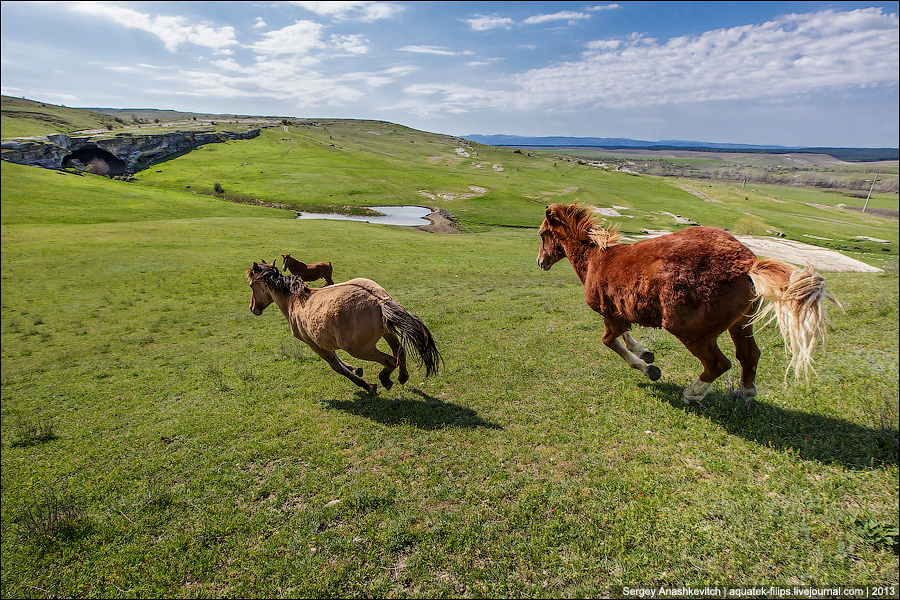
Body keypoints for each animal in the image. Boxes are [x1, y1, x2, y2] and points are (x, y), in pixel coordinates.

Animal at [246, 258, 442, 394]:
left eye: (250, 285)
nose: (252, 308)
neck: (294, 301)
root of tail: (379, 301)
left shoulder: (313, 343)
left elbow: (335, 365)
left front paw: (367, 385)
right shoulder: (322, 341)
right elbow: (338, 360)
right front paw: (355, 369)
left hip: (358, 348)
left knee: (390, 360)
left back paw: (385, 379)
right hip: (387, 332)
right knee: (400, 350)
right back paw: (402, 376)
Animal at [536, 202, 836, 404]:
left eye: (541, 235)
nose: (540, 262)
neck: (596, 260)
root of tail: (746, 262)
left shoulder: (610, 316)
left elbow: (610, 341)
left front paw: (649, 369)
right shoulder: (619, 313)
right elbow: (626, 334)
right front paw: (644, 352)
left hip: (690, 331)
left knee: (718, 364)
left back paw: (693, 393)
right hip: (741, 323)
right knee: (749, 355)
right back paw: (745, 391)